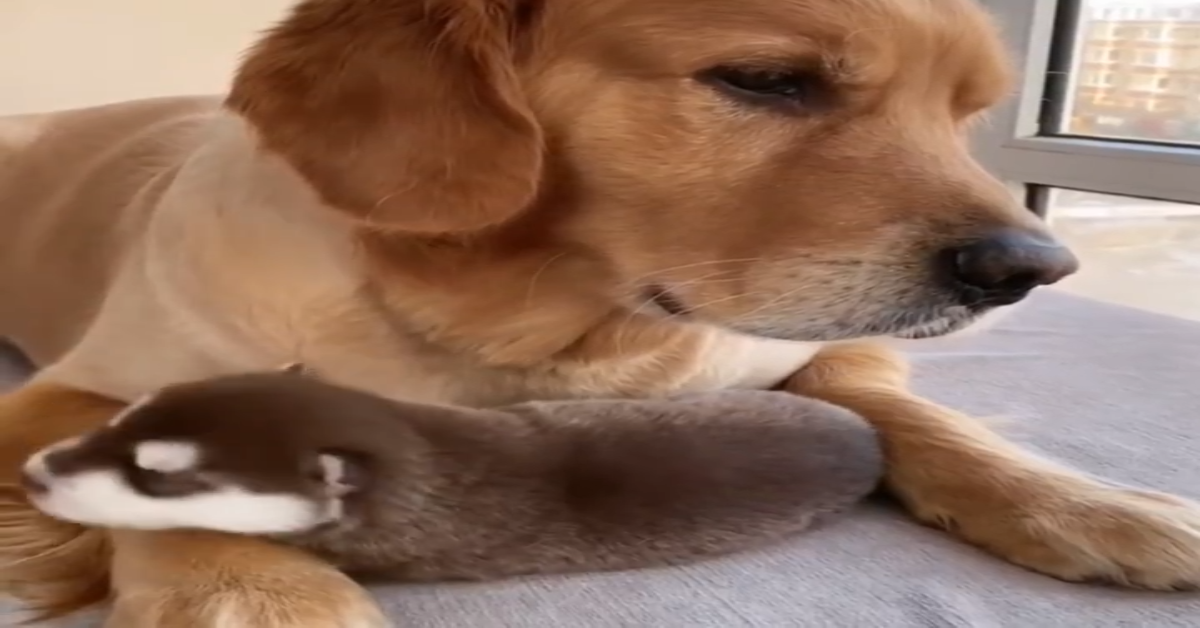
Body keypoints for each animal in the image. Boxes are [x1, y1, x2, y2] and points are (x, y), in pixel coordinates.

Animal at [0, 0, 1195, 624]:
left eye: (963, 113)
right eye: (767, 79)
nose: (1032, 267)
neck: (543, 335)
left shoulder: (813, 361)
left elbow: (922, 419)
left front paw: (1088, 503)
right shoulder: (71, 392)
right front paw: (257, 592)